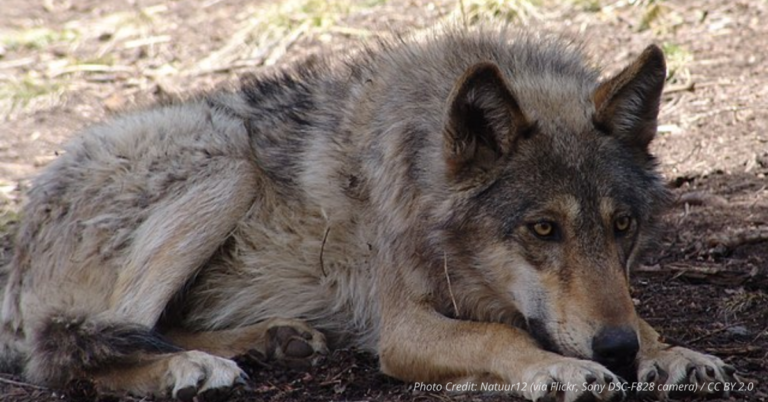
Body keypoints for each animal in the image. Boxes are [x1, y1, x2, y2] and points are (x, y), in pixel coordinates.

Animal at [0, 26, 741, 401]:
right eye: (543, 229)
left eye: (622, 227)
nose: (615, 352)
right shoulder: (404, 326)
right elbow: (499, 339)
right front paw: (562, 370)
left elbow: (635, 312)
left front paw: (667, 351)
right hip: (226, 164)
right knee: (67, 350)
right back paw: (188, 369)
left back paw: (269, 340)